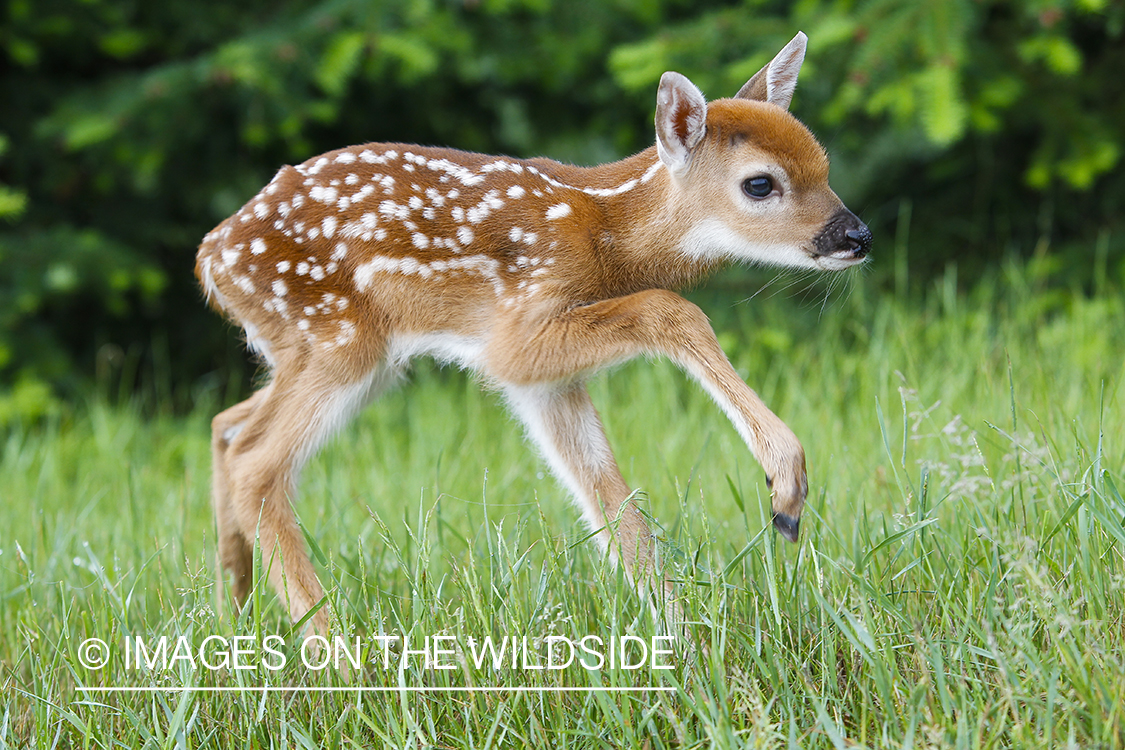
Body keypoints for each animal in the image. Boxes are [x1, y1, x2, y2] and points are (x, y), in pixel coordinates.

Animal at [196, 31, 871, 637]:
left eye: (824, 165)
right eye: (760, 183)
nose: (856, 236)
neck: (603, 233)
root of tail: (211, 257)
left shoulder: (543, 380)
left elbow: (610, 501)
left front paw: (684, 647)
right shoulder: (514, 332)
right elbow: (671, 308)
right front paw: (785, 488)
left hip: (339, 355)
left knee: (229, 426)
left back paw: (236, 618)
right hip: (338, 338)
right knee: (256, 462)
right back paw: (335, 654)